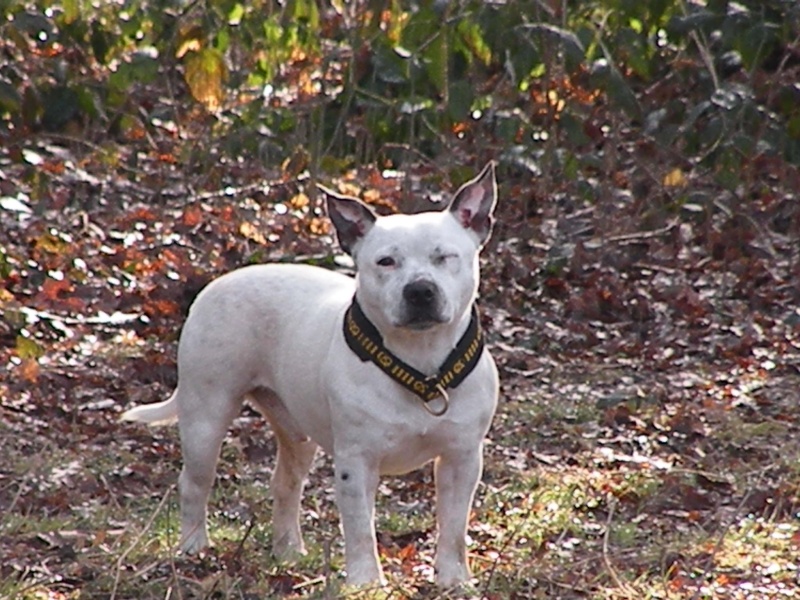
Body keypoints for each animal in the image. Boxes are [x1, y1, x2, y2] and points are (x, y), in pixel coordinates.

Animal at [122, 163, 496, 584]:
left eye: (445, 256)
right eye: (386, 261)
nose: (419, 290)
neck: (421, 362)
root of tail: (218, 282)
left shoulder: (462, 459)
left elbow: (454, 527)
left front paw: (455, 579)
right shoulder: (356, 462)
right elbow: (360, 529)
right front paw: (366, 581)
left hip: (295, 432)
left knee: (285, 484)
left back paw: (288, 551)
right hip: (206, 415)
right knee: (194, 482)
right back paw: (193, 545)